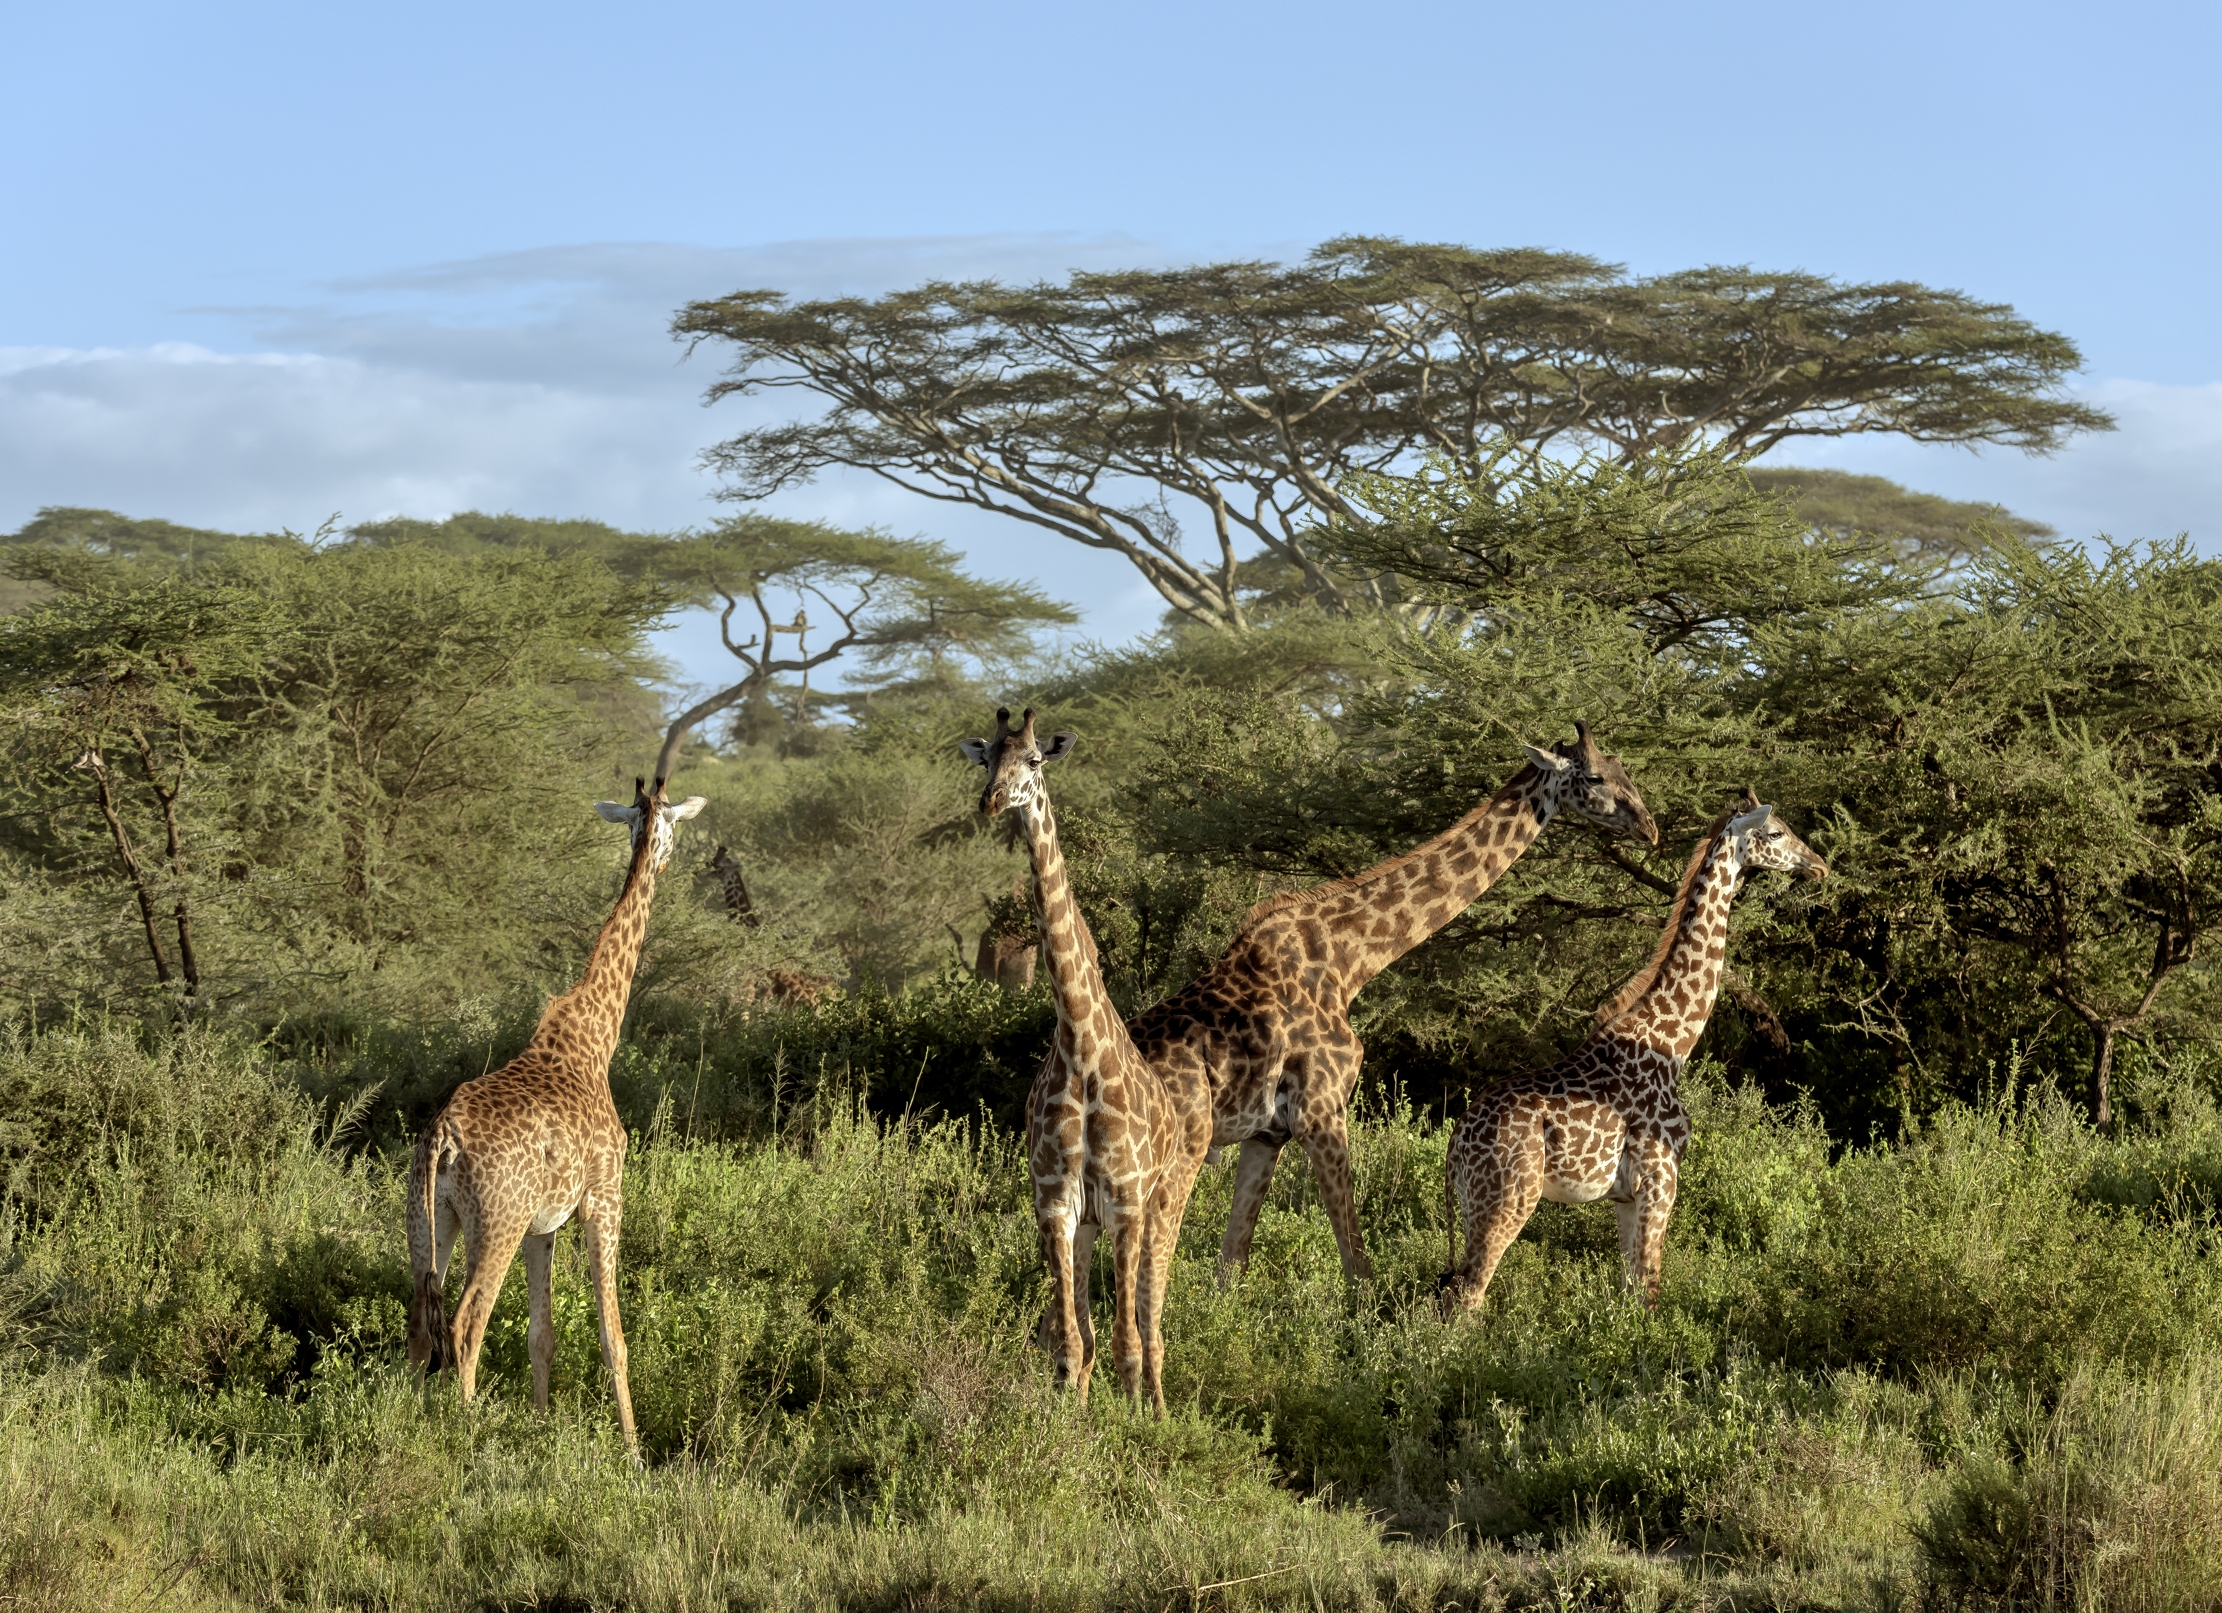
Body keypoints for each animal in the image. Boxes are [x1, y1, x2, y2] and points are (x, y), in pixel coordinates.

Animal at [405, 775, 707, 1455]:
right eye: (674, 828)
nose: (666, 861)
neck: (595, 1038)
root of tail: (443, 1139)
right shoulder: (604, 1199)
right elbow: (614, 1336)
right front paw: (633, 1451)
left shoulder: (544, 1226)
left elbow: (541, 1336)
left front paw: (542, 1428)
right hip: (496, 1222)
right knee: (464, 1325)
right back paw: (466, 1437)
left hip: (430, 1221)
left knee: (419, 1323)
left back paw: (396, 1427)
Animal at [959, 707, 1186, 1410]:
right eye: (986, 758)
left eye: (1034, 760)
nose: (992, 801)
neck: (1081, 1046)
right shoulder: (1056, 1202)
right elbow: (1070, 1345)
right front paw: (1067, 1427)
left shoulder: (1127, 1200)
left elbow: (1126, 1345)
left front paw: (1138, 1428)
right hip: (1091, 1224)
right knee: (1090, 1332)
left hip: (1162, 1204)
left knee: (1152, 1326)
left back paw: (1161, 1412)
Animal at [1126, 723, 1658, 1283]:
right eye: (1594, 776)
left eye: (1623, 767)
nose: (1649, 827)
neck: (1347, 962)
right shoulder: (1321, 1108)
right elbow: (1357, 1264)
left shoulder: (1267, 1133)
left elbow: (1231, 1264)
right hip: (1174, 1154)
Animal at [1439, 790, 1827, 1315]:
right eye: (1775, 832)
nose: (1819, 865)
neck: (1673, 1043)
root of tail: (1455, 1146)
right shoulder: (1660, 1179)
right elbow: (1650, 1292)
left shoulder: (1625, 1195)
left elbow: (1629, 1294)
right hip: (1507, 1198)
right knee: (1466, 1297)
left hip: (1473, 1204)